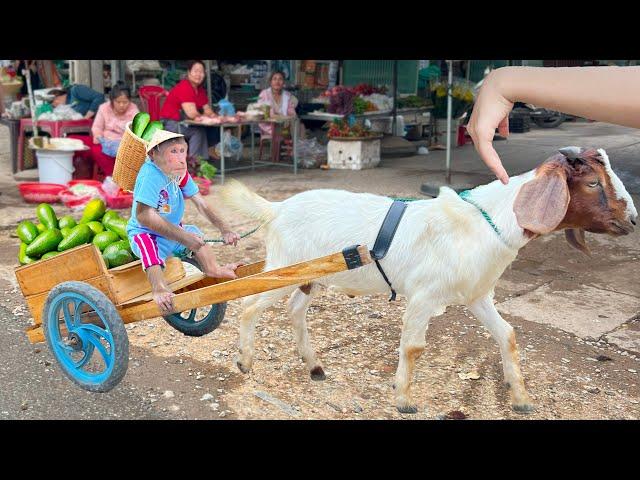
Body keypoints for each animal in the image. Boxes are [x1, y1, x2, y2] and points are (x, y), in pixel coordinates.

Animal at [219, 148, 636, 414]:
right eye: (593, 184)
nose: (632, 221)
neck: (488, 223)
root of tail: (276, 209)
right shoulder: (423, 295)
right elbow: (414, 347)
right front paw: (404, 400)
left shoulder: (478, 294)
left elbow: (508, 334)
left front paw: (519, 397)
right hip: (283, 269)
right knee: (249, 305)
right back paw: (244, 360)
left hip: (314, 276)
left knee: (295, 310)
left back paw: (314, 366)